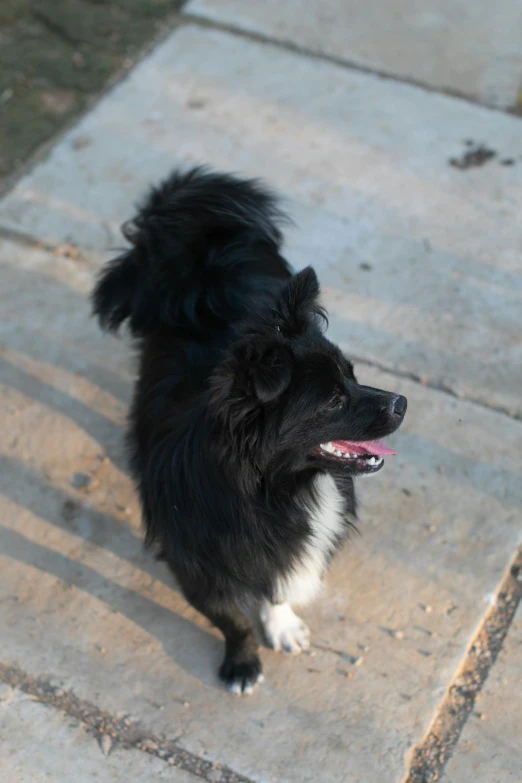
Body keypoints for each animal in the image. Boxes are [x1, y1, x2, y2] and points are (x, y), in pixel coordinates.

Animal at [91, 168, 404, 696]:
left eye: (354, 376)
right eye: (334, 401)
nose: (402, 403)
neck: (276, 489)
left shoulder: (275, 553)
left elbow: (274, 587)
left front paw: (279, 624)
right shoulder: (196, 565)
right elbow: (230, 618)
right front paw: (242, 664)